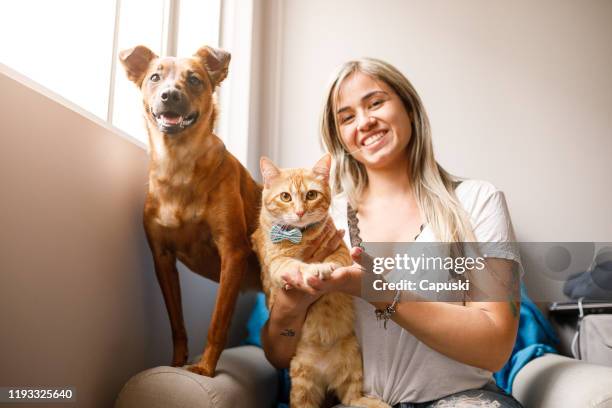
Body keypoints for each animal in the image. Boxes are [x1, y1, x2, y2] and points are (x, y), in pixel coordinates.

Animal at [119, 44, 260, 376]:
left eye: (194, 79)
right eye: (155, 77)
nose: (170, 95)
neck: (178, 166)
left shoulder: (233, 252)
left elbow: (217, 322)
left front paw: (205, 368)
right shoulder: (162, 258)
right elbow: (177, 324)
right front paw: (175, 364)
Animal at [252, 155, 388, 408]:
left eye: (311, 195)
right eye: (285, 197)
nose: (300, 212)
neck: (301, 235)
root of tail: (325, 372)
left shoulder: (341, 249)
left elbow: (336, 260)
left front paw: (326, 267)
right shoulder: (276, 262)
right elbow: (295, 266)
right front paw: (310, 270)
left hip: (352, 362)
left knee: (352, 398)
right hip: (302, 381)